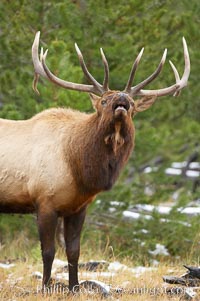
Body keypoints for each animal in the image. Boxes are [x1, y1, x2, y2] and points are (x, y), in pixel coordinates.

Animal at [0, 31, 190, 290]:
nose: (122, 98)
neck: (79, 168)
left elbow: (74, 252)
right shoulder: (44, 201)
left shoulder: (78, 207)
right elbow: (48, 252)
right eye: (103, 101)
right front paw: (46, 287)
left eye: (133, 105)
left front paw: (74, 287)